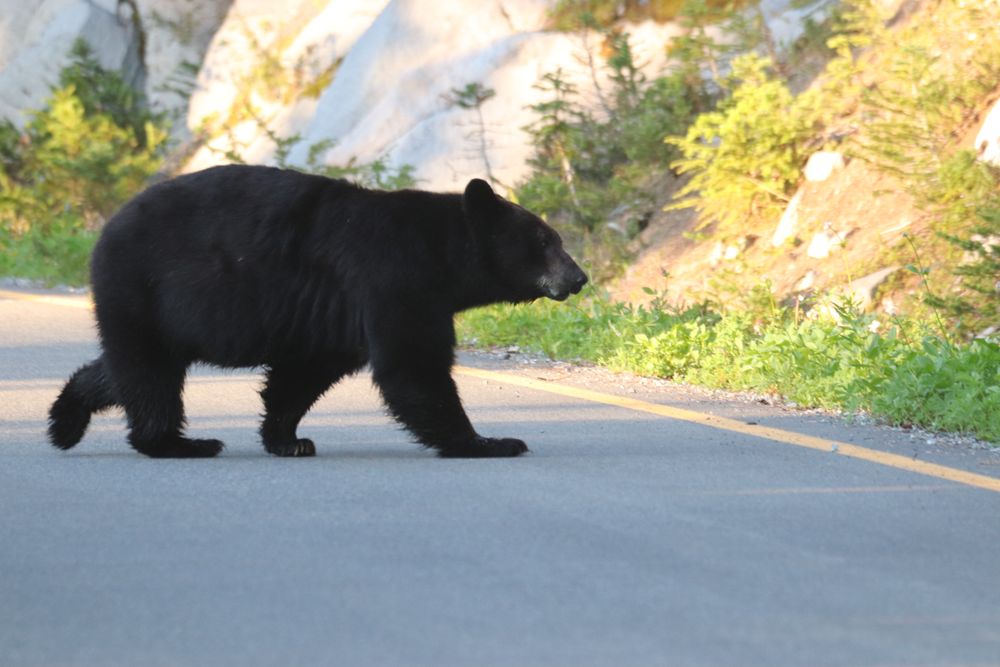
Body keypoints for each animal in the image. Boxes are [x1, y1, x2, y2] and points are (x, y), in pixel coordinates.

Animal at [47, 165, 587, 459]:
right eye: (546, 241)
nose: (579, 277)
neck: (443, 252)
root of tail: (109, 226)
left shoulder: (335, 312)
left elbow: (307, 370)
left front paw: (287, 438)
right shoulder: (396, 278)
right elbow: (412, 366)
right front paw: (489, 441)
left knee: (125, 368)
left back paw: (65, 419)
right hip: (142, 284)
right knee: (149, 374)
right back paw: (180, 443)